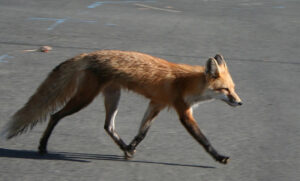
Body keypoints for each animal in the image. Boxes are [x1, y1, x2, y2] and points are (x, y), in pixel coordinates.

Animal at [1, 50, 241, 165]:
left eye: (233, 89)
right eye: (225, 90)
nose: (240, 103)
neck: (186, 83)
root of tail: (87, 55)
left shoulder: (157, 104)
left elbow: (142, 133)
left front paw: (131, 147)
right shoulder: (183, 112)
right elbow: (204, 140)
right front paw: (219, 157)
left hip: (112, 98)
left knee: (108, 126)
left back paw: (124, 147)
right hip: (84, 99)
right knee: (54, 115)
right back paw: (42, 146)